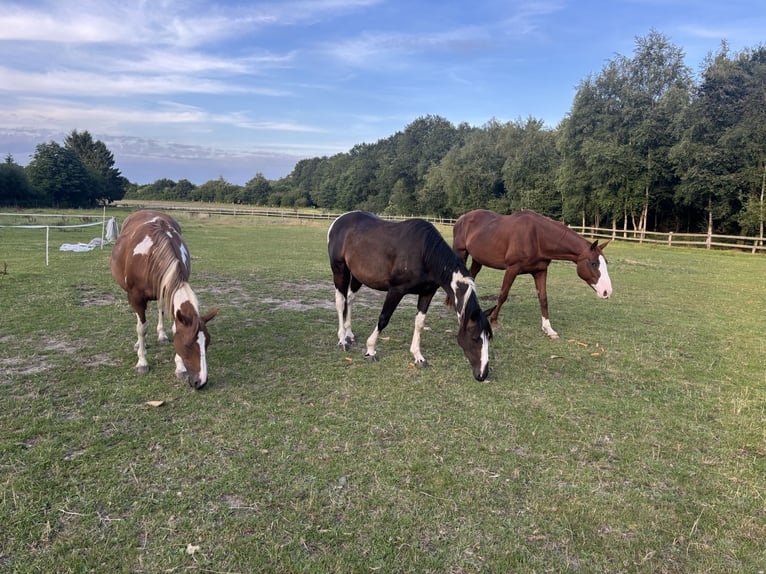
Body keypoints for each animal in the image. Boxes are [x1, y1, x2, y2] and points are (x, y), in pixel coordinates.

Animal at [110, 210, 219, 388]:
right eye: (187, 345)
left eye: (207, 342)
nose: (201, 382)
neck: (152, 254)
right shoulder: (135, 297)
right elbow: (142, 328)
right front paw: (142, 362)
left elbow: (174, 326)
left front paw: (180, 367)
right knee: (140, 321)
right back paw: (140, 344)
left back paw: (161, 335)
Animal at [327, 211, 494, 382]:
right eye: (475, 338)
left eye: (489, 337)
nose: (483, 374)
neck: (425, 253)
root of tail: (339, 220)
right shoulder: (396, 290)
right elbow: (383, 319)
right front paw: (370, 350)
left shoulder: (427, 293)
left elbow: (419, 324)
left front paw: (418, 357)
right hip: (340, 271)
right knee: (340, 301)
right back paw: (342, 340)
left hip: (357, 276)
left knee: (350, 299)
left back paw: (349, 334)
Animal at [452, 209, 612, 339]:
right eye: (593, 263)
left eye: (605, 262)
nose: (607, 292)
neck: (537, 237)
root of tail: (461, 218)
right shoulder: (512, 269)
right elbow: (503, 295)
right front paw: (494, 321)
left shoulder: (540, 271)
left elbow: (543, 298)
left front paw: (548, 329)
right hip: (461, 253)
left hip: (478, 260)